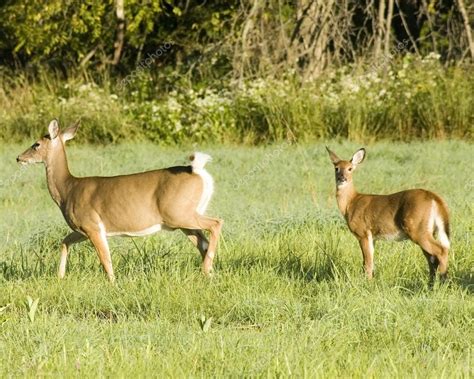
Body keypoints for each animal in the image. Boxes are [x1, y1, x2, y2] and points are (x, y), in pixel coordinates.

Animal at [17, 119, 223, 282]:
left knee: (216, 222)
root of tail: (198, 171)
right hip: (183, 219)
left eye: (36, 144)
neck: (68, 189)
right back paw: (210, 272)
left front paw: (113, 283)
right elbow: (65, 241)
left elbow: (105, 258)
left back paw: (206, 269)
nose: (19, 158)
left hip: (178, 212)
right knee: (203, 241)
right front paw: (60, 276)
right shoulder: (83, 229)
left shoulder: (92, 224)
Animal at [326, 147, 452, 284]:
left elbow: (367, 262)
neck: (351, 203)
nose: (342, 178)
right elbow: (370, 261)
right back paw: (432, 283)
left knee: (441, 251)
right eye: (336, 168)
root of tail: (434, 197)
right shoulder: (373, 237)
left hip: (416, 228)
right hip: (429, 230)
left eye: (350, 168)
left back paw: (442, 282)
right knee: (432, 258)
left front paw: (367, 283)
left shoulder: (362, 232)